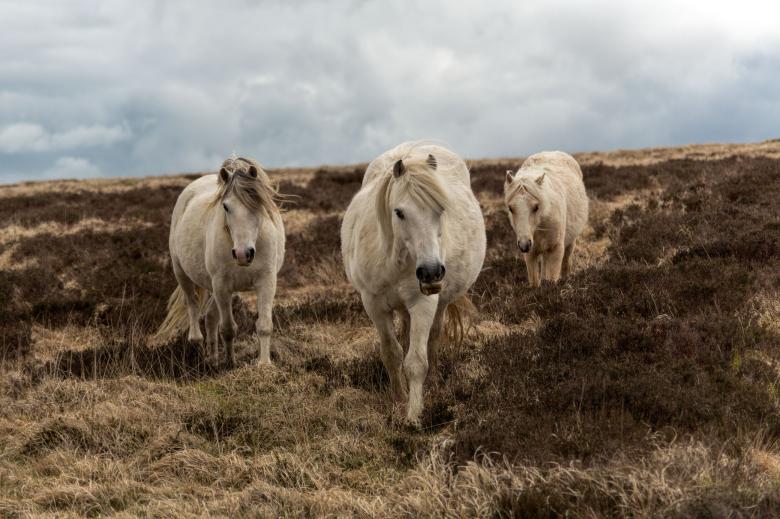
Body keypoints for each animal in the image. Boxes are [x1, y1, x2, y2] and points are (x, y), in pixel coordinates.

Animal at [154, 157, 285, 368]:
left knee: (210, 316)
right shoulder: (222, 285)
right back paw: (198, 349)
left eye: (256, 204)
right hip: (183, 274)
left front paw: (264, 365)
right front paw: (230, 363)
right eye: (226, 206)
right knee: (193, 306)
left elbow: (264, 325)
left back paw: (213, 358)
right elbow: (228, 328)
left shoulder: (267, 282)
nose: (243, 254)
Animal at [341, 141, 486, 426]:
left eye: (441, 209)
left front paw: (413, 415)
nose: (431, 271)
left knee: (433, 340)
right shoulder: (374, 304)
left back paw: (436, 383)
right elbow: (392, 353)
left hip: (439, 303)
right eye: (399, 212)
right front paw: (398, 400)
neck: (394, 260)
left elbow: (417, 360)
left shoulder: (423, 302)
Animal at [504, 151, 588, 286]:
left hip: (570, 243)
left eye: (536, 207)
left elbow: (552, 279)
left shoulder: (556, 250)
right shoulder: (531, 253)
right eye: (511, 208)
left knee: (566, 263)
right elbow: (535, 282)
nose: (524, 245)